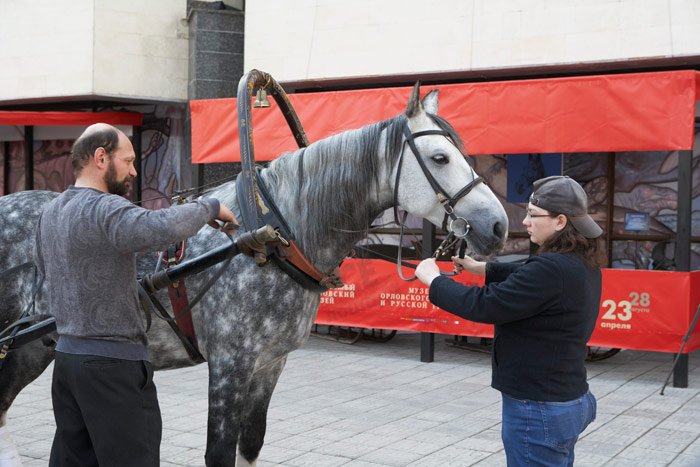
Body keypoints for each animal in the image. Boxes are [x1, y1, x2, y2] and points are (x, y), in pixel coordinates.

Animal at [0, 86, 506, 466]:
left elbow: (251, 444)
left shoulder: (269, 365)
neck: (273, 237)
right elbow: (219, 452)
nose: (498, 225)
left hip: (33, 348)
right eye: (440, 158)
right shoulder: (230, 365)